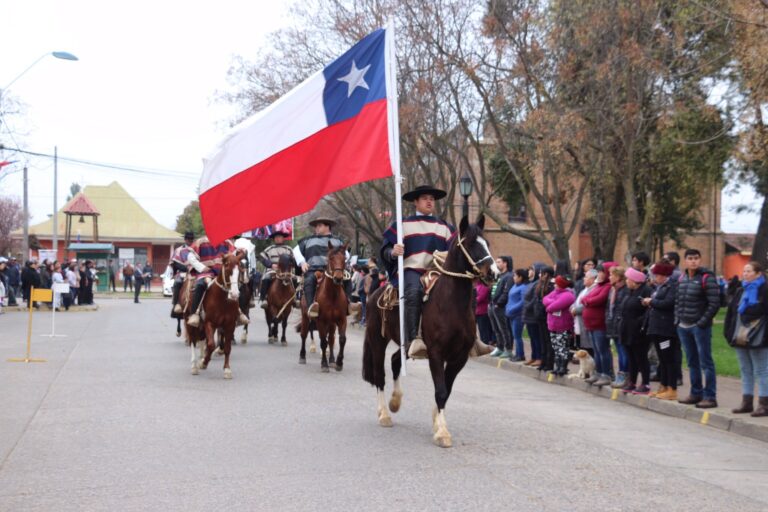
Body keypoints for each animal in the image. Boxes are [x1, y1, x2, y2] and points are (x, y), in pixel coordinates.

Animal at [184, 250, 242, 378]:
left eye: (240, 269)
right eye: (227, 267)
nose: (235, 294)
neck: (222, 300)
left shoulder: (229, 325)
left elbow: (227, 347)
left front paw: (227, 369)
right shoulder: (209, 323)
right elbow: (211, 344)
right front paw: (203, 363)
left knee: (200, 339)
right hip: (190, 322)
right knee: (192, 340)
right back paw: (194, 366)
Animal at [298, 244, 350, 372]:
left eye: (344, 259)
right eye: (330, 258)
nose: (338, 278)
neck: (332, 295)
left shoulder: (341, 320)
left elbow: (341, 339)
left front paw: (339, 362)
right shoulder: (321, 321)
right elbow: (323, 341)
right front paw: (324, 364)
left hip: (331, 323)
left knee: (331, 339)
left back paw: (331, 359)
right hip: (305, 316)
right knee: (304, 334)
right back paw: (302, 356)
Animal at [360, 214, 492, 446]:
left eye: (487, 243)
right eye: (470, 244)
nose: (493, 272)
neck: (451, 304)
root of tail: (375, 293)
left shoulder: (459, 357)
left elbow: (446, 391)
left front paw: (437, 421)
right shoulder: (436, 353)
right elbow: (440, 391)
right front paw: (442, 432)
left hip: (404, 345)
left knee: (395, 361)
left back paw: (395, 402)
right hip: (377, 339)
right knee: (379, 375)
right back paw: (384, 414)